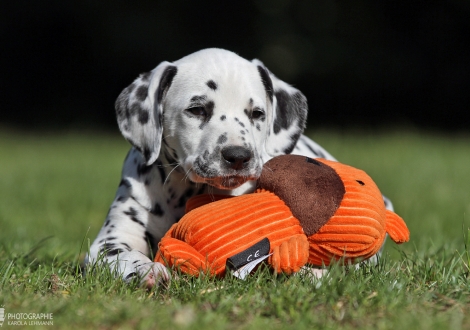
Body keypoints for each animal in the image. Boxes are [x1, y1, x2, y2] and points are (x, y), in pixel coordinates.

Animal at [85, 47, 392, 288]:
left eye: (257, 114)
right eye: (197, 110)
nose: (238, 156)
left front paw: (311, 273)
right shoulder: (107, 243)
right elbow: (124, 255)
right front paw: (146, 269)